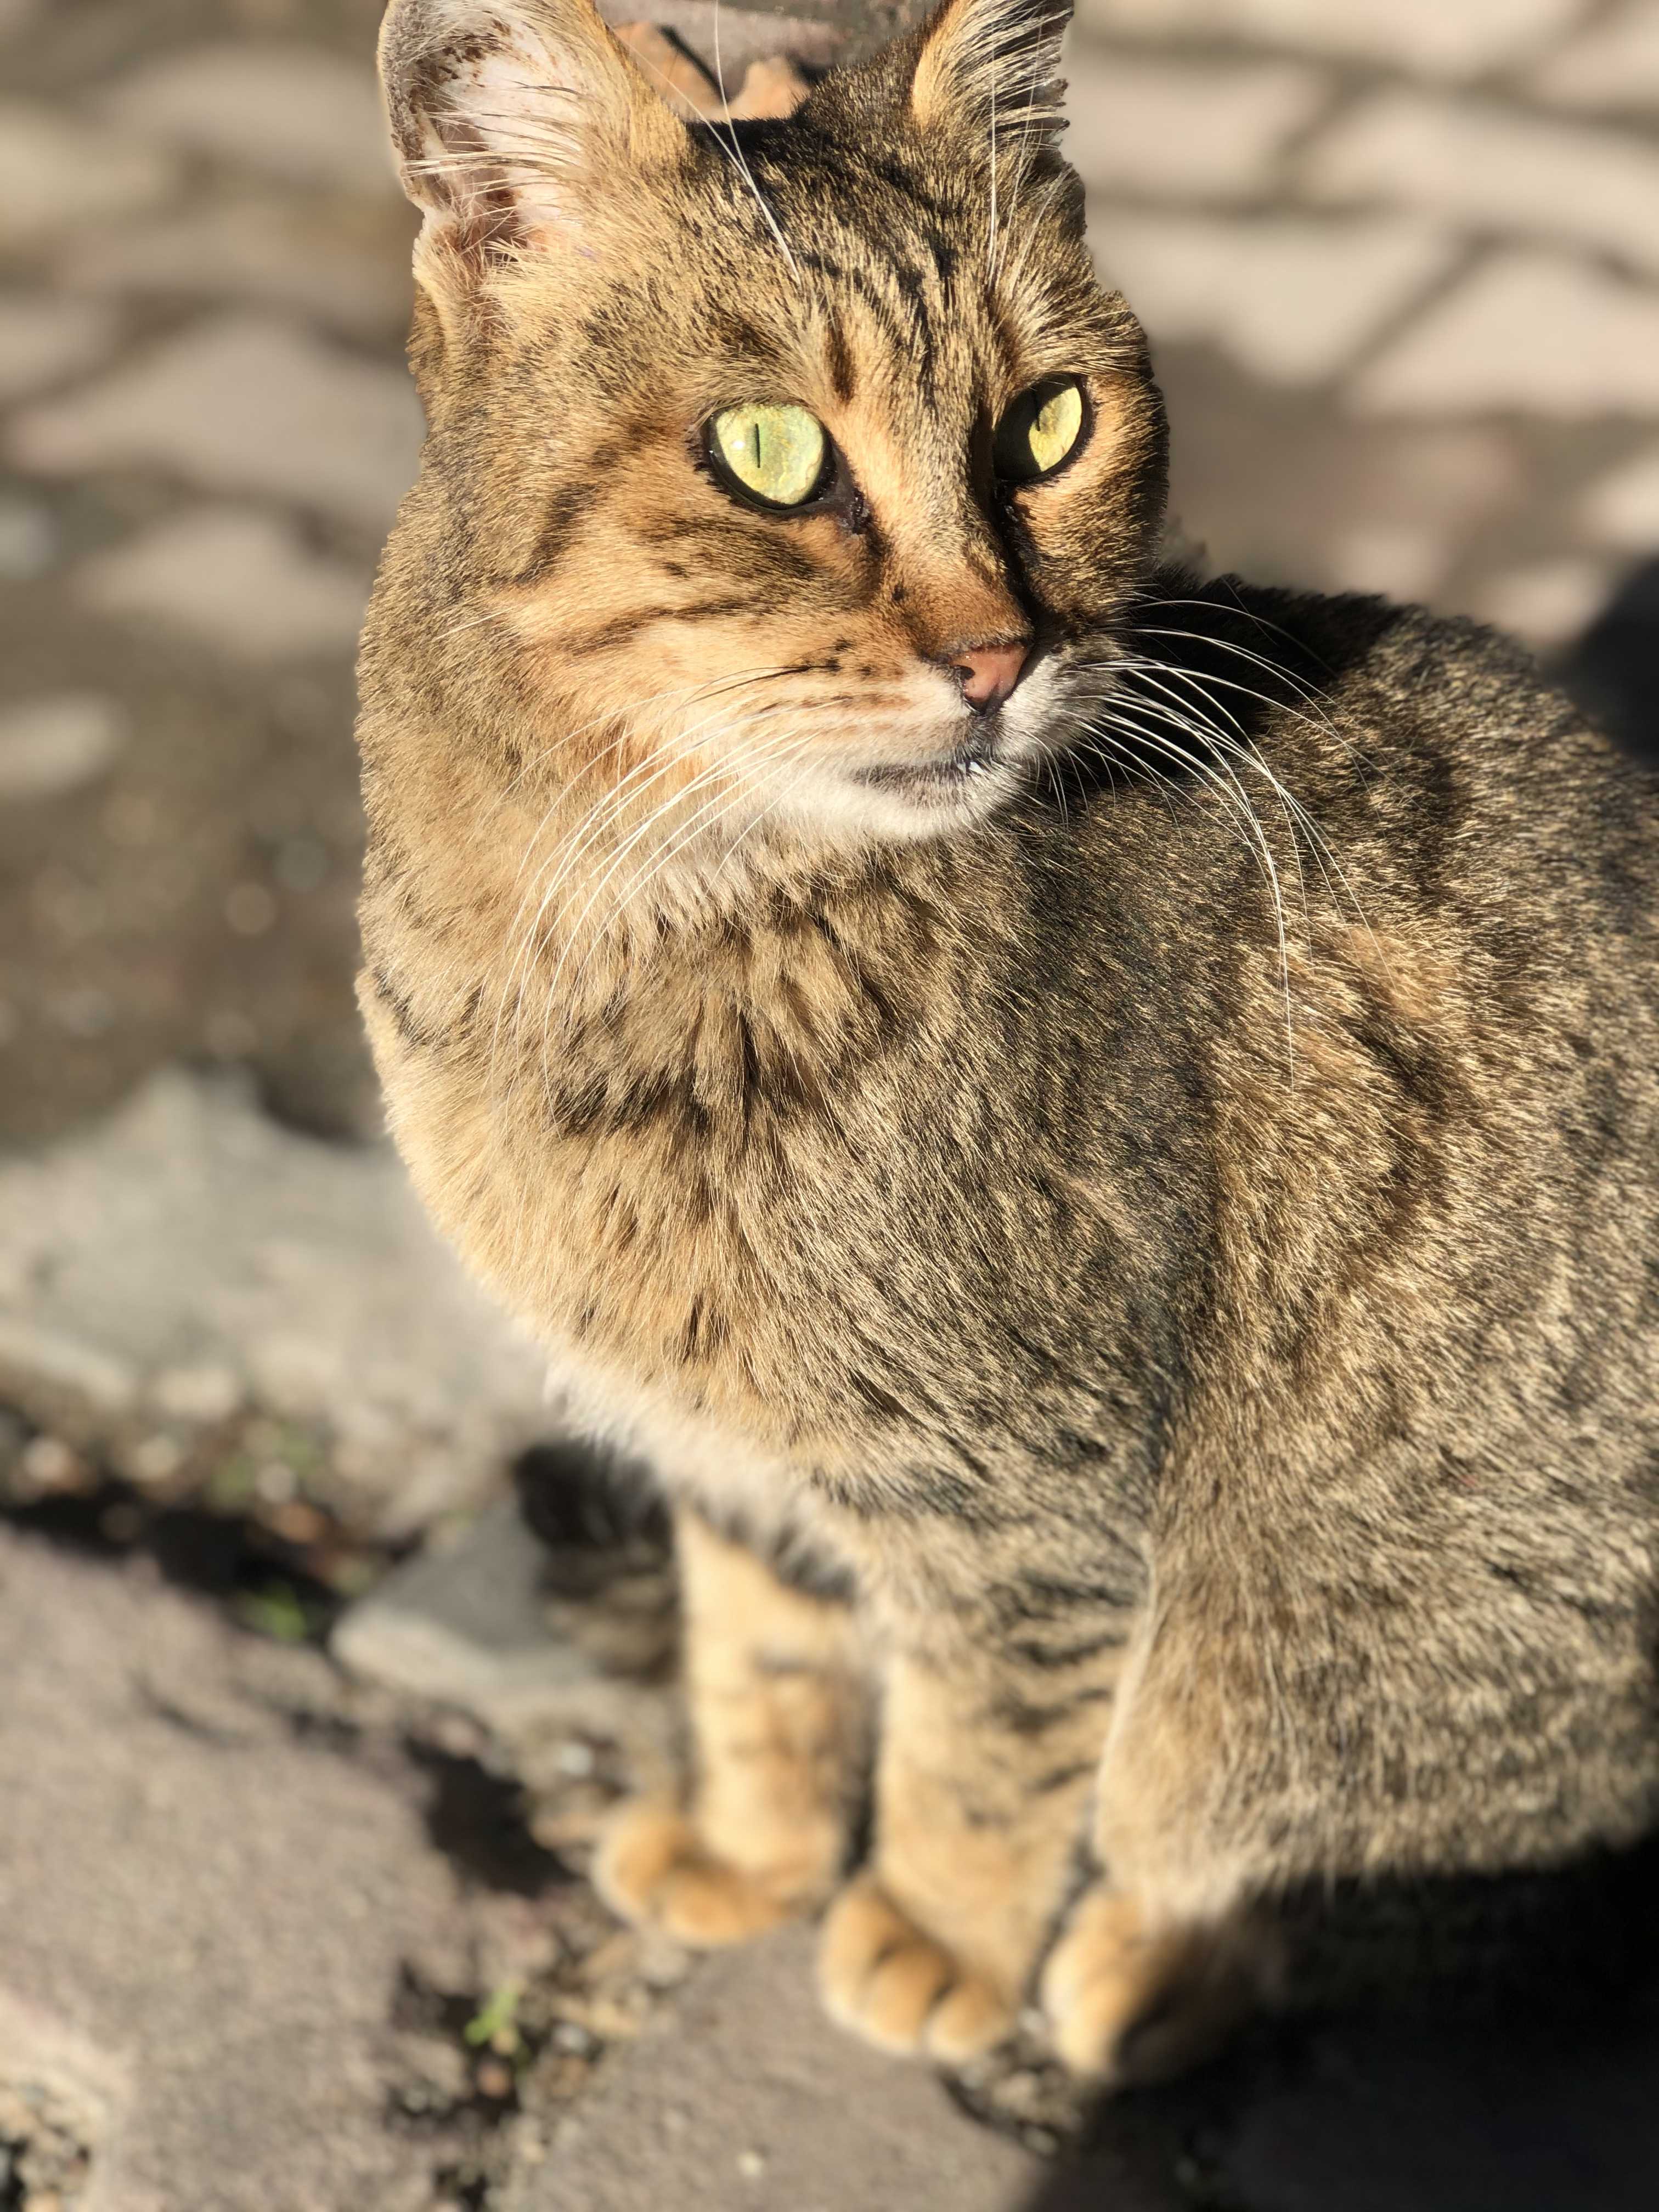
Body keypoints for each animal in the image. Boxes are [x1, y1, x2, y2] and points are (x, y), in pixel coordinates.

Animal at [357, 0, 1659, 2082]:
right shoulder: (738, 1466)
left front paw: (930, 1935)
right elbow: (764, 1665)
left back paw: (1138, 1968)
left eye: (1047, 423)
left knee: (1361, 1874)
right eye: (768, 454)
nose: (997, 654)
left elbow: (982, 1750)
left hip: (1281, 1662)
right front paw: (753, 1849)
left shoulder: (1022, 1500)